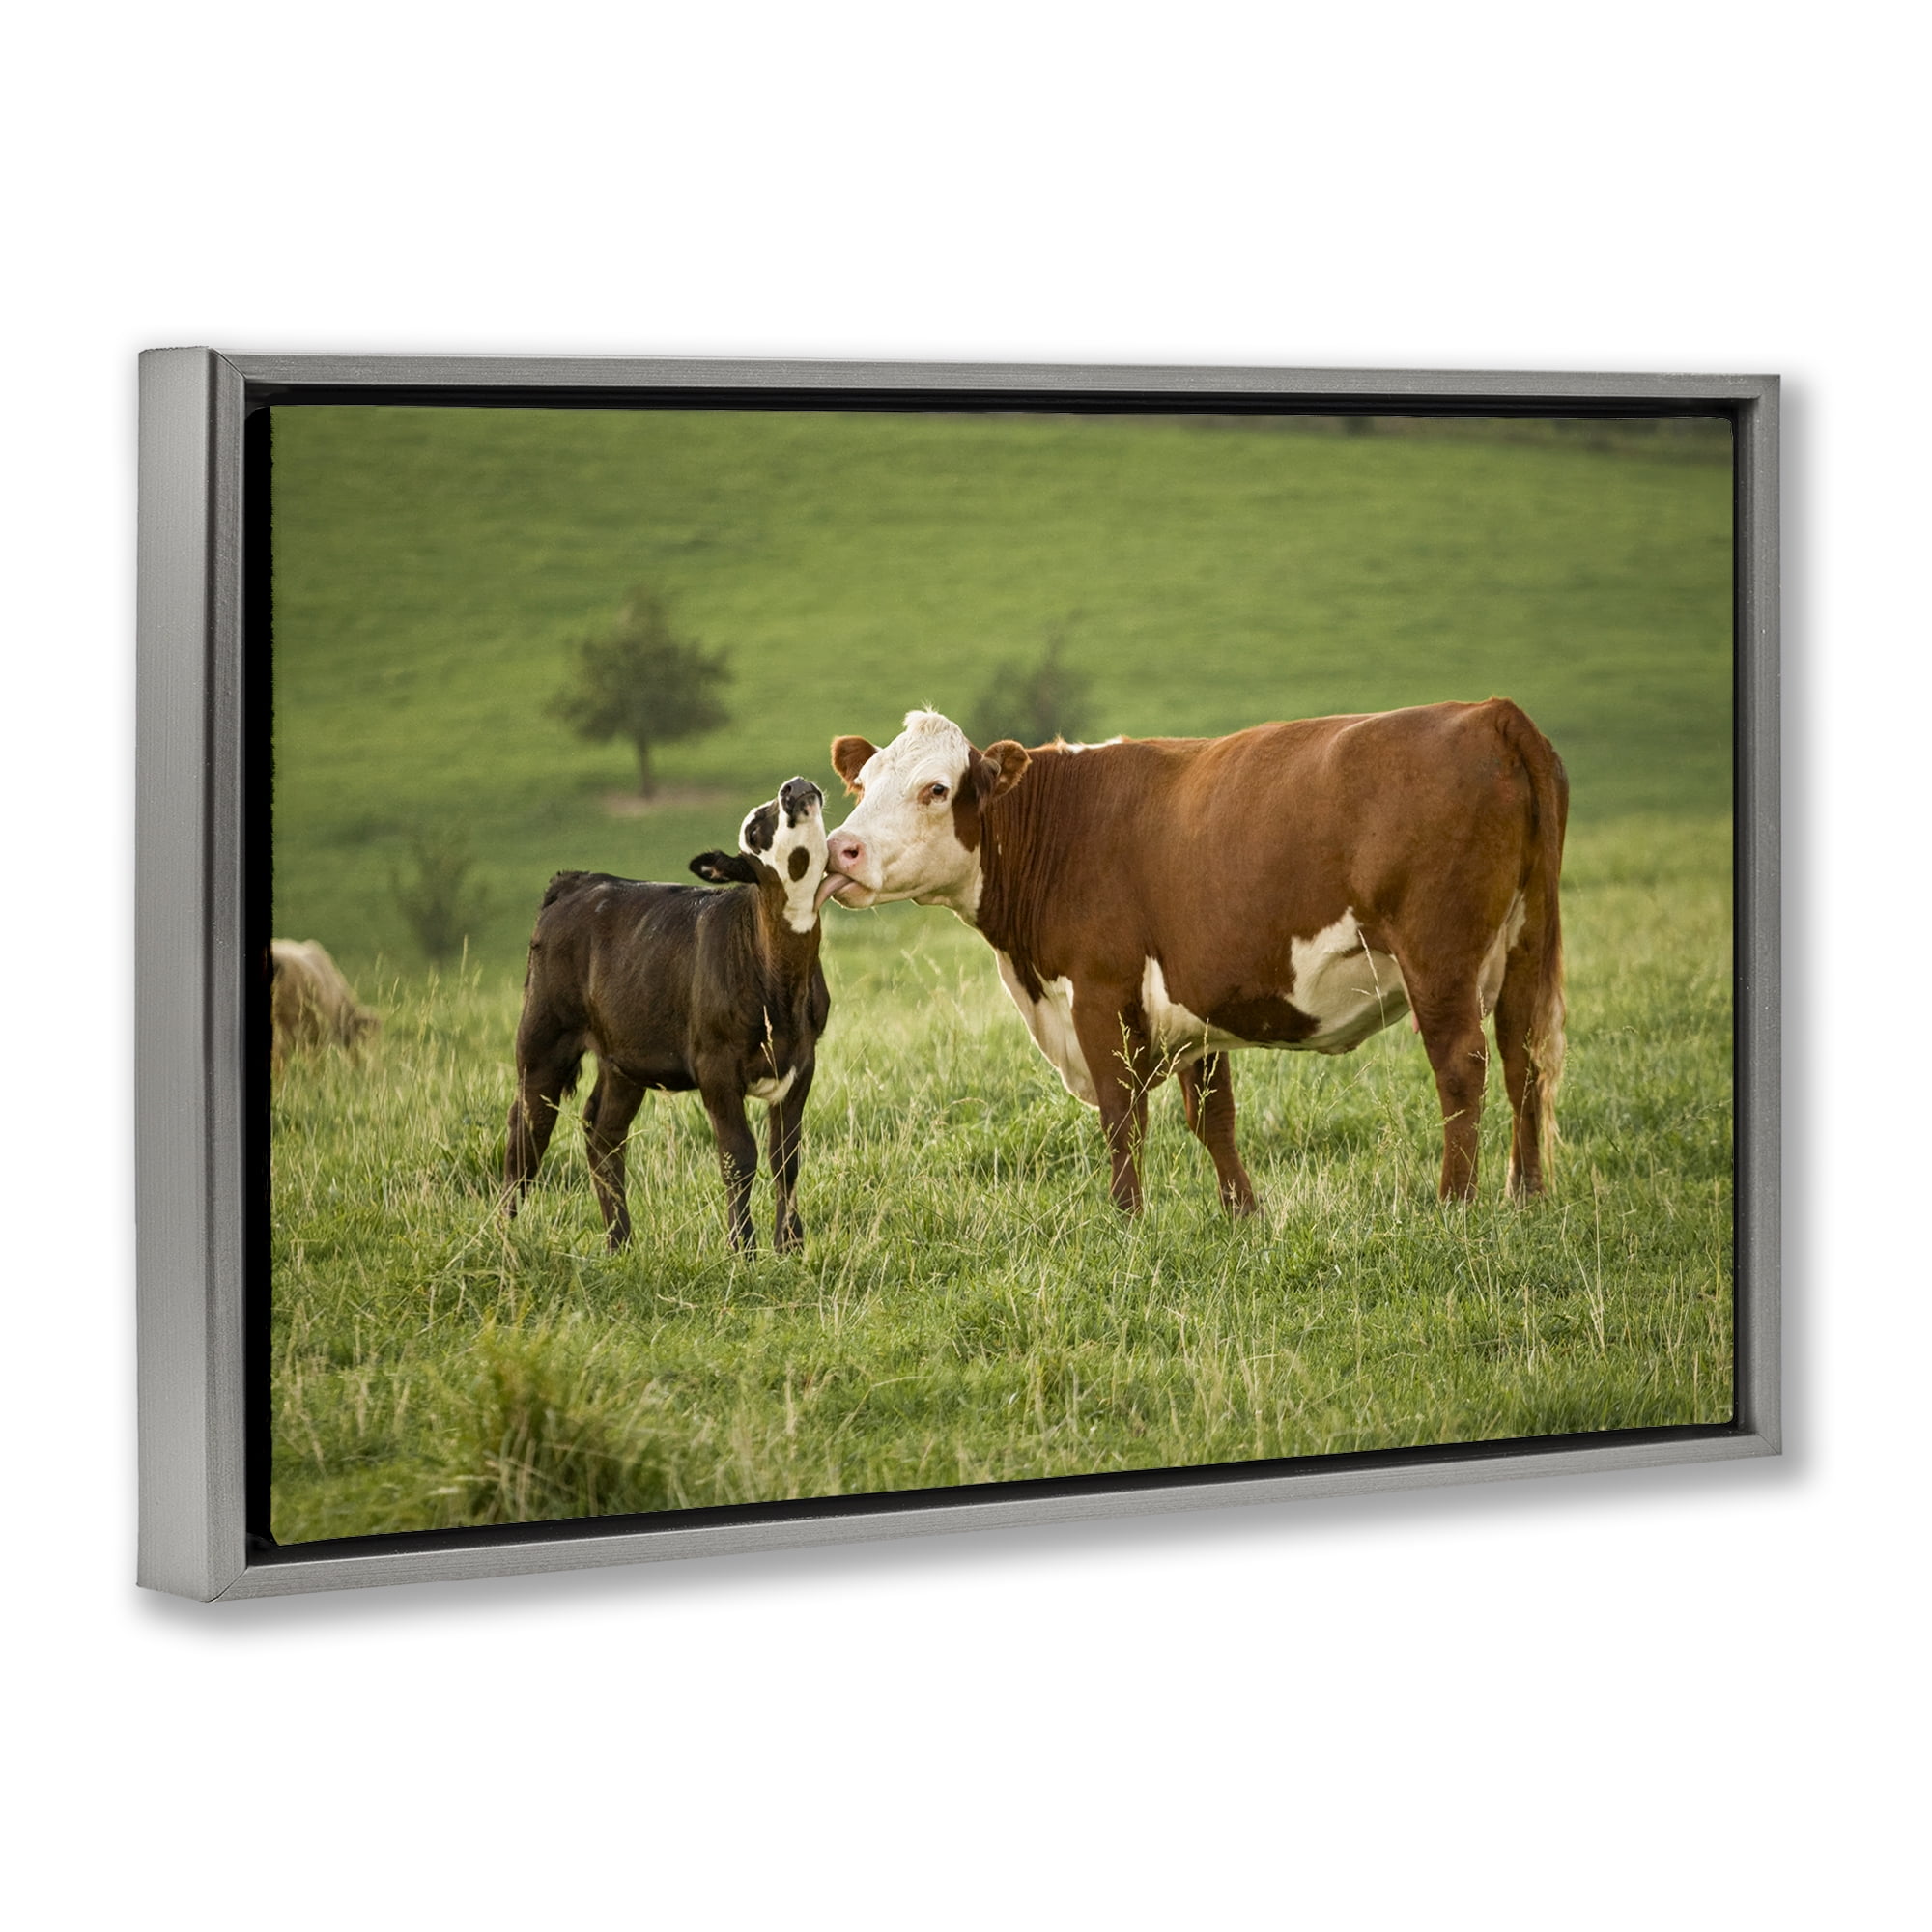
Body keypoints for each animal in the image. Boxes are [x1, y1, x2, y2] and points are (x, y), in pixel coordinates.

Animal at [502, 778, 837, 1253]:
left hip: (623, 1058)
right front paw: (743, 1248)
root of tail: (581, 880)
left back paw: (620, 1242)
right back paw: (503, 1235)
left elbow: (785, 1156)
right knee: (526, 1132)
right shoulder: (714, 1065)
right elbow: (738, 1154)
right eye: (755, 830)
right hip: (543, 1037)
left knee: (603, 1135)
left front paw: (790, 1245)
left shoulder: (802, 1059)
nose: (793, 787)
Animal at [822, 703, 1566, 1213]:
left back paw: (1455, 1202)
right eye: (861, 785)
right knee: (1522, 1058)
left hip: (1438, 957)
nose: (839, 849)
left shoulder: (1100, 992)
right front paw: (1244, 1214)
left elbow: (1122, 1116)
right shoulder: (1192, 1001)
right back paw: (1525, 1195)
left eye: (937, 789)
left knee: (1461, 1066)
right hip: (1524, 945)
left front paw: (1127, 1219)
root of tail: (1490, 713)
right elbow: (1214, 1117)